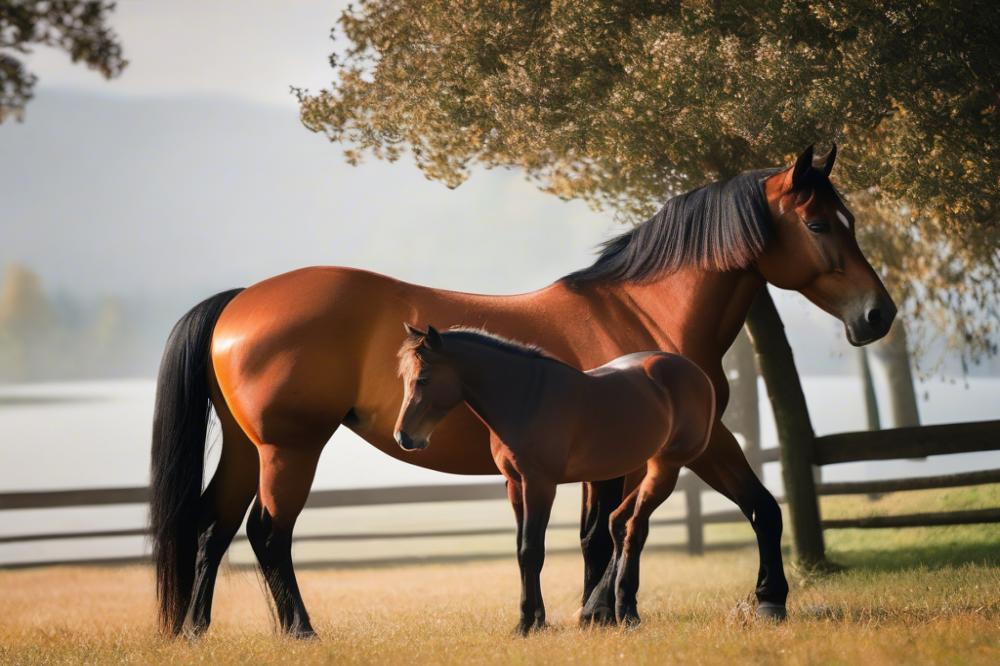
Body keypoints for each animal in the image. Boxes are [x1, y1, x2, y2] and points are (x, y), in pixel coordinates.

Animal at [394, 324, 717, 631]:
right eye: (406, 377)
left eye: (423, 378)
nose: (404, 437)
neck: (527, 399)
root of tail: (695, 372)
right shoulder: (516, 485)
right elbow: (522, 551)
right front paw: (534, 618)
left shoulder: (540, 485)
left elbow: (532, 551)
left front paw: (527, 622)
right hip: (639, 468)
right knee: (620, 523)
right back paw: (608, 609)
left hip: (665, 468)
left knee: (634, 529)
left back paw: (626, 612)